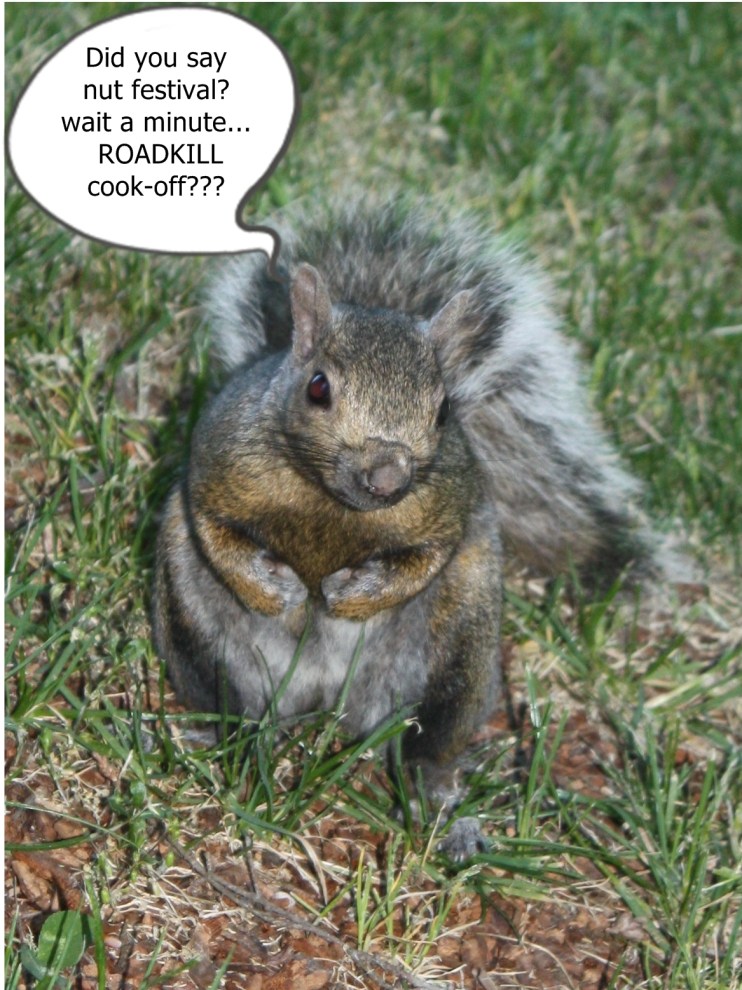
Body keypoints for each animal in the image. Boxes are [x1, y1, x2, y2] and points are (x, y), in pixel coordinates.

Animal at [153, 196, 653, 859]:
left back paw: (435, 800)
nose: (387, 477)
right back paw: (224, 740)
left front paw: (354, 595)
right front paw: (273, 587)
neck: (332, 505)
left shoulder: (447, 505)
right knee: (230, 699)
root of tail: (322, 700)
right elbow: (213, 529)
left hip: (462, 643)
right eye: (318, 387)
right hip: (193, 626)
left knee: (430, 736)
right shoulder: (215, 465)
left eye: (443, 410)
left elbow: (426, 558)